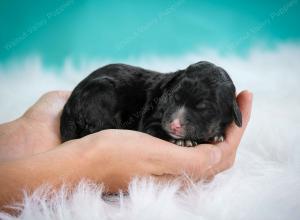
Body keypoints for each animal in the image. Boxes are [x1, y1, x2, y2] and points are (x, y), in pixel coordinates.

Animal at [60, 61, 241, 146]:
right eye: (173, 97)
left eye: (203, 108)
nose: (175, 125)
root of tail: (70, 104)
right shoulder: (151, 120)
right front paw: (183, 141)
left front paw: (217, 134)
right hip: (102, 90)